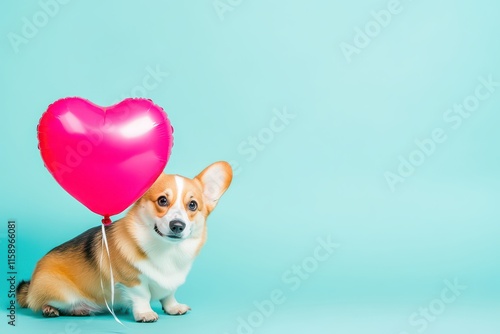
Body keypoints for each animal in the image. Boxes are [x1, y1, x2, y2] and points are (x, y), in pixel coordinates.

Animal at [17, 160, 232, 322]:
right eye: (162, 200)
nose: (177, 225)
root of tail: (33, 282)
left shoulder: (171, 282)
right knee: (40, 302)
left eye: (193, 205)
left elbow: (169, 294)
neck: (166, 250)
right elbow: (143, 296)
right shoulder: (131, 280)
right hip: (60, 292)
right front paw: (145, 313)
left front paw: (173, 307)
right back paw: (52, 309)